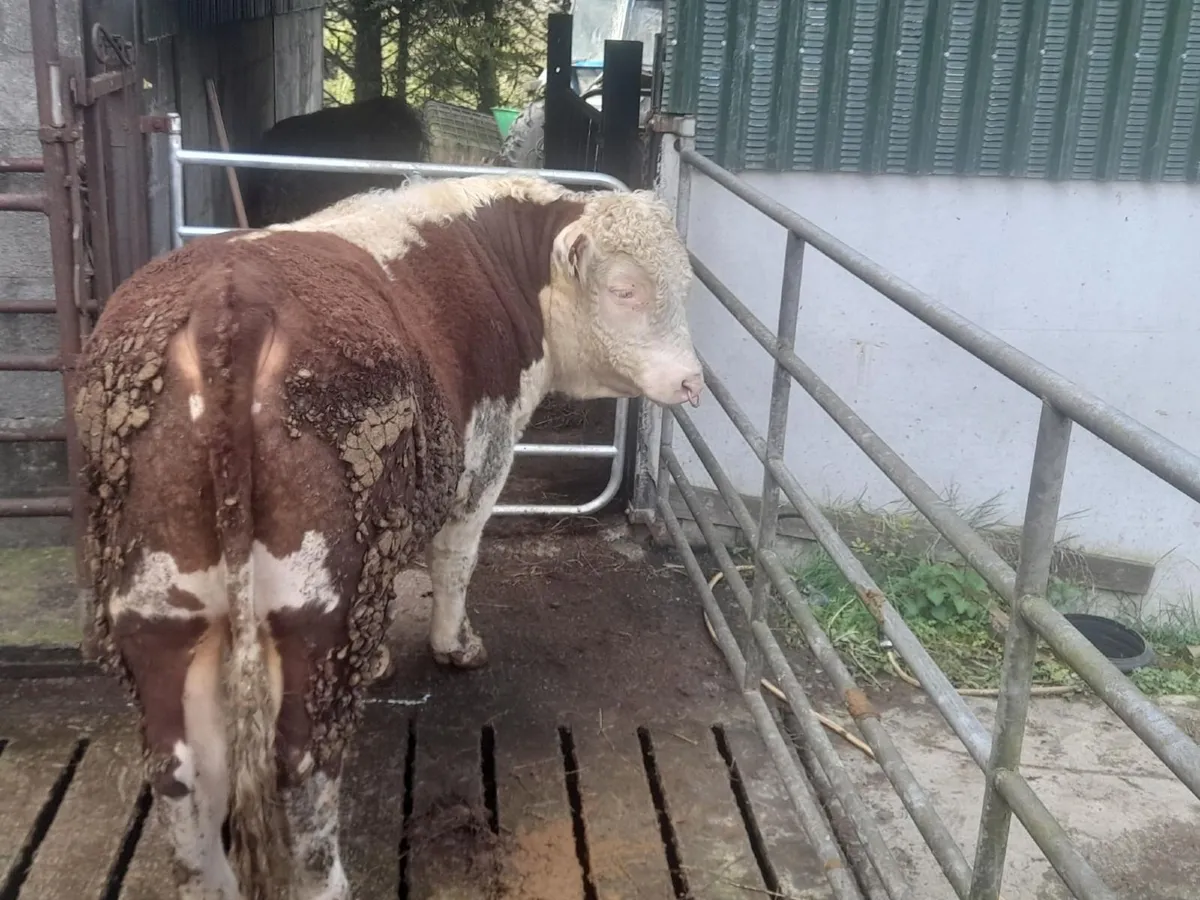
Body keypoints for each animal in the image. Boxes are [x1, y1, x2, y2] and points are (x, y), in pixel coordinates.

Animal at [72, 173, 703, 900]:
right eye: (625, 289)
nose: (693, 381)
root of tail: (227, 298)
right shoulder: (482, 459)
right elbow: (454, 559)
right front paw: (454, 645)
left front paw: (377, 659)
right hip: (311, 604)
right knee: (301, 764)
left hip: (159, 602)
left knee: (182, 775)